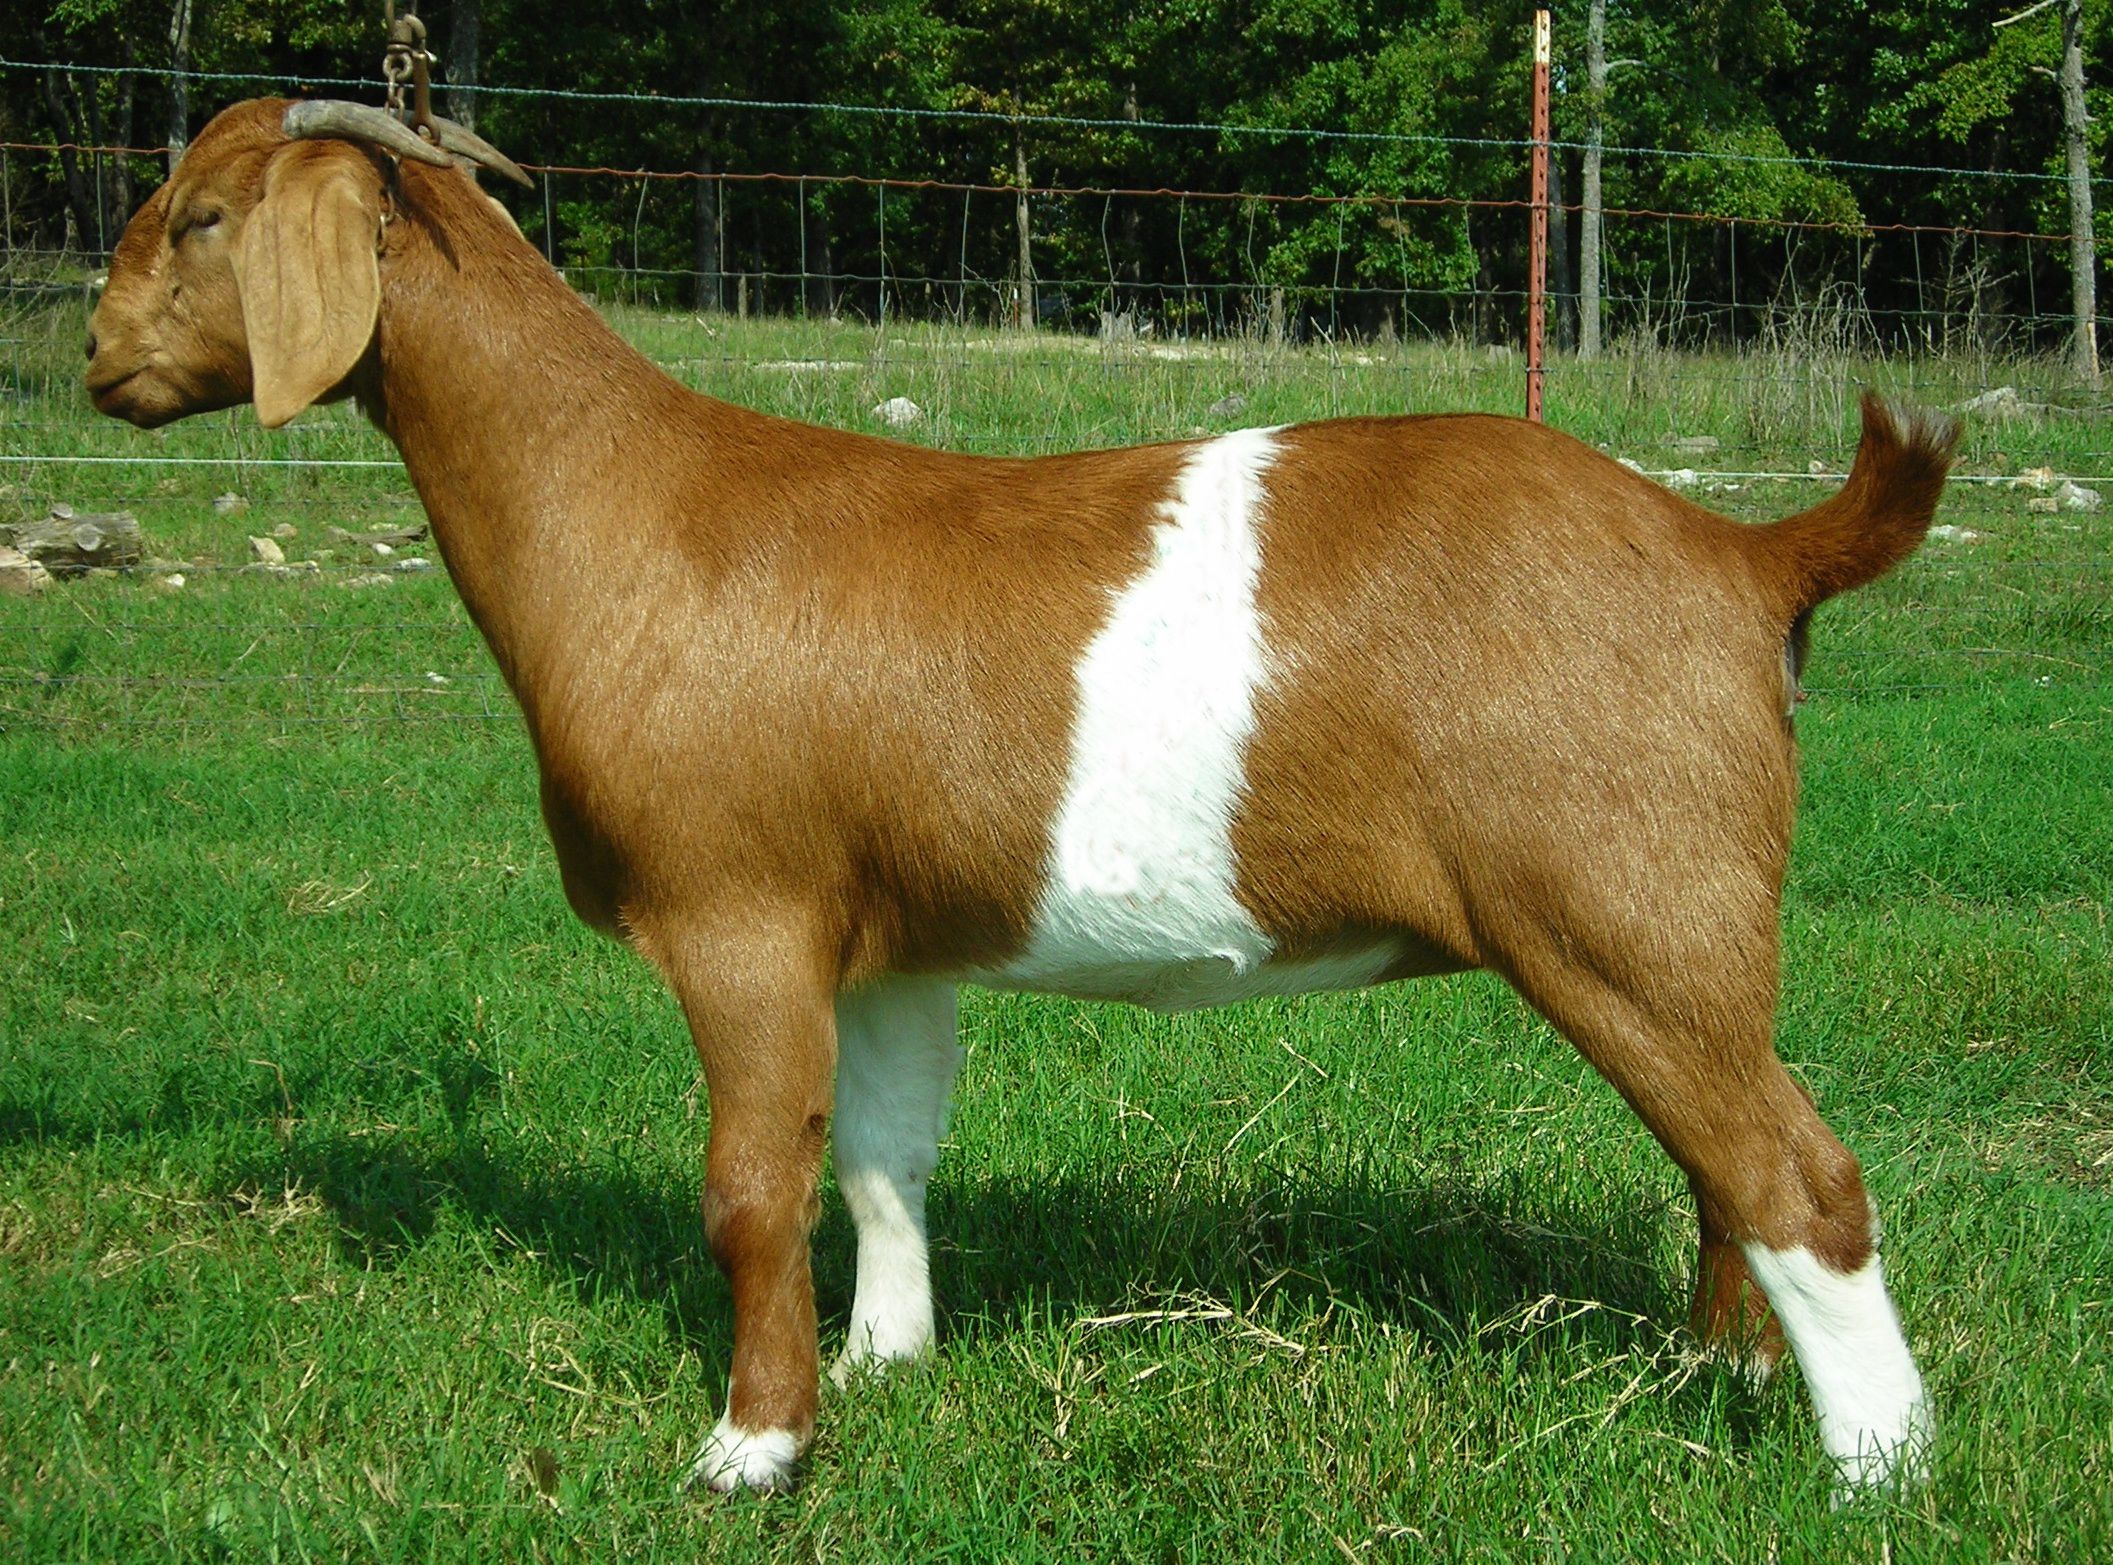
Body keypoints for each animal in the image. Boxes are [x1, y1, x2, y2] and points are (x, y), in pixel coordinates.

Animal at [88, 99, 1957, 1497]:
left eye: (202, 218)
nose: (97, 355)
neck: (629, 508)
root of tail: (1744, 553)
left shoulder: (740, 912)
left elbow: (750, 1182)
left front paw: (751, 1449)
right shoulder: (888, 935)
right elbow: (880, 1159)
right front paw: (886, 1363)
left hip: (1621, 903)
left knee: (1797, 1176)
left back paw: (1874, 1470)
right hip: (1669, 932)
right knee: (1722, 1164)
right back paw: (1720, 1381)